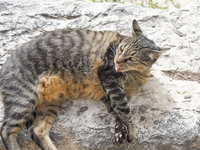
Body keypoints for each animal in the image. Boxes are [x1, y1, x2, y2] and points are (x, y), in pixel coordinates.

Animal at [0, 19, 168, 149]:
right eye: (121, 49)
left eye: (132, 58)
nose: (117, 60)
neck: (137, 75)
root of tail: (4, 66)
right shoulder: (109, 78)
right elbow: (123, 110)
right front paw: (130, 131)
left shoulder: (107, 92)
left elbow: (116, 112)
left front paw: (119, 133)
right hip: (24, 98)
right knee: (6, 129)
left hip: (51, 103)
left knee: (38, 131)